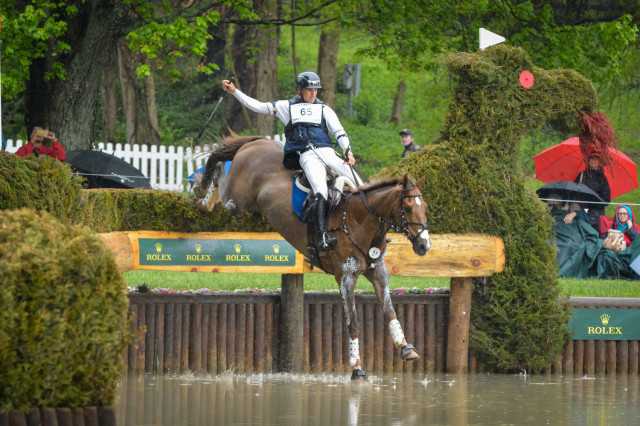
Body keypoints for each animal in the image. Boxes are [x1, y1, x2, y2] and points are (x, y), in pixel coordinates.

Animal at [198, 136, 432, 380]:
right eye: (408, 208)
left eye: (424, 207)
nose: (424, 245)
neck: (360, 220)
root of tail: (260, 140)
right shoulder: (346, 277)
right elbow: (353, 324)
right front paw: (357, 368)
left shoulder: (378, 272)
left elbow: (389, 311)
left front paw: (405, 347)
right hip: (236, 200)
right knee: (219, 173)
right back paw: (205, 198)